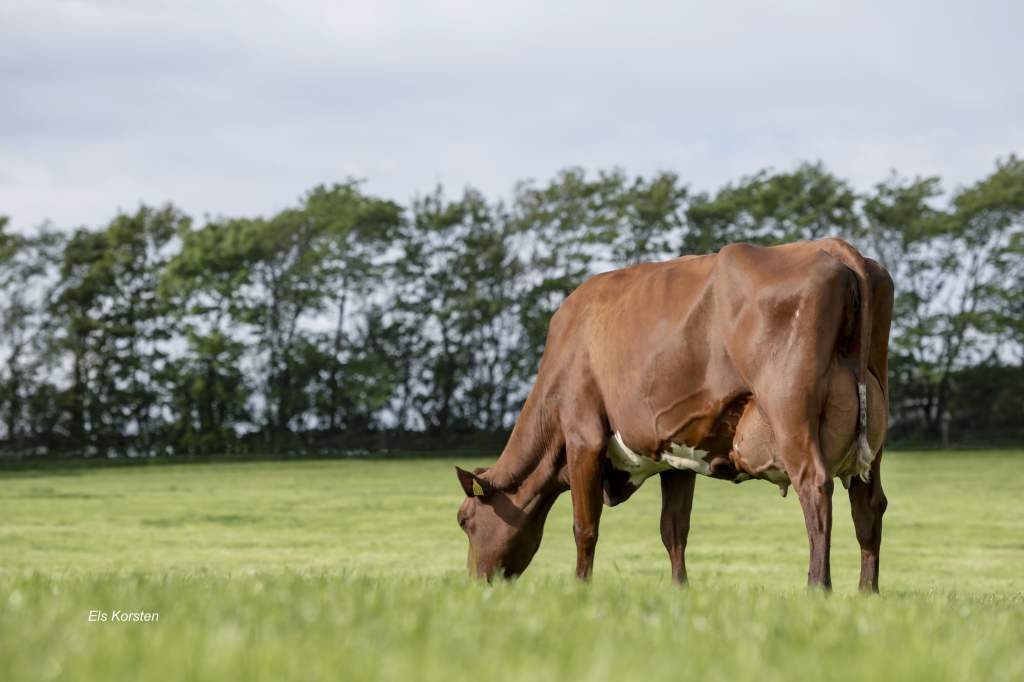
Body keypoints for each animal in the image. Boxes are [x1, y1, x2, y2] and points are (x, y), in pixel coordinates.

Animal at [452, 238, 892, 589]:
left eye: (464, 520)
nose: (474, 584)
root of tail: (834, 247)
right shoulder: (677, 454)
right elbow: (674, 529)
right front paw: (679, 589)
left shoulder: (583, 436)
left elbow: (585, 526)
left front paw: (580, 588)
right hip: (874, 432)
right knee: (869, 504)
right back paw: (866, 592)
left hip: (790, 412)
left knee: (815, 488)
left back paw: (819, 587)